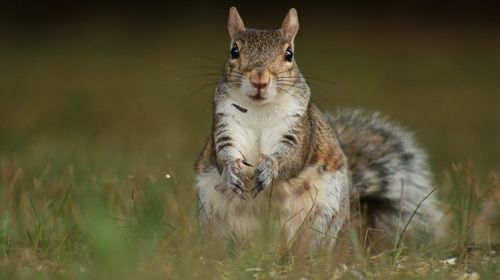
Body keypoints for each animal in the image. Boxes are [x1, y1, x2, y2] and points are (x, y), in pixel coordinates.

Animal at [193, 7, 444, 252]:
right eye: (234, 51)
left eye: (289, 54)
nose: (259, 80)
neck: (259, 109)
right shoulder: (225, 125)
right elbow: (223, 153)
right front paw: (230, 171)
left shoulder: (301, 130)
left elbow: (293, 158)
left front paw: (270, 167)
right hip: (215, 217)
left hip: (324, 215)